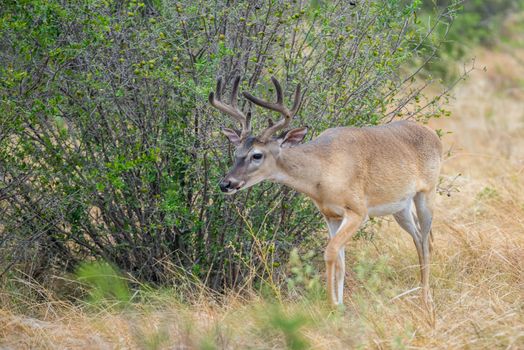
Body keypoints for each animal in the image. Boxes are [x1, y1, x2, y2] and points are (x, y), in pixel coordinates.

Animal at [209, 76, 442, 306]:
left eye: (257, 155)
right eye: (236, 152)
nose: (226, 184)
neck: (322, 172)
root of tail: (433, 134)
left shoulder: (358, 210)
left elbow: (330, 252)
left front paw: (331, 304)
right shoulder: (330, 215)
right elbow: (340, 260)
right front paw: (339, 305)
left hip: (427, 192)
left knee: (427, 241)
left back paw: (426, 300)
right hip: (400, 206)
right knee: (419, 237)